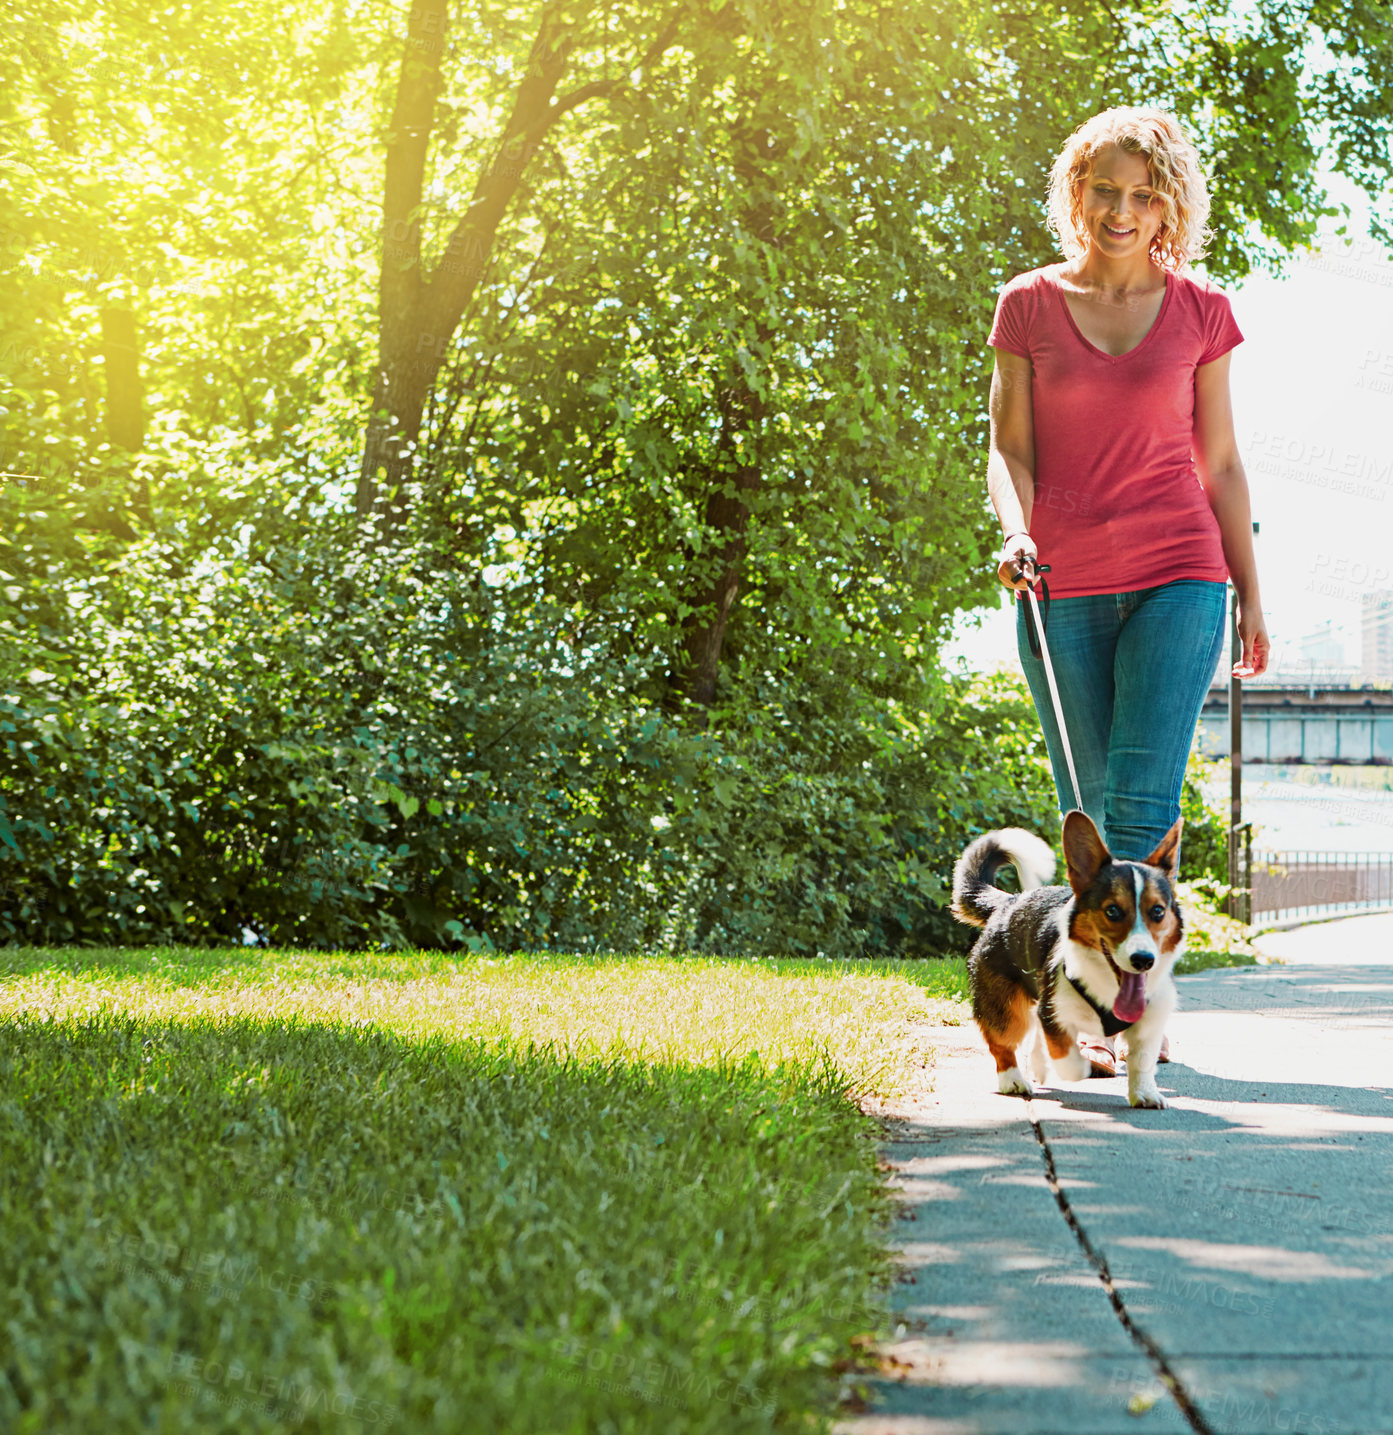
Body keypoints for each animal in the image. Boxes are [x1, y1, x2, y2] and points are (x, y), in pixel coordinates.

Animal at [946, 815, 1187, 1102]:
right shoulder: (1054, 1010)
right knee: (1003, 1043)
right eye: (1112, 911)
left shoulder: (1149, 1023)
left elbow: (1142, 1060)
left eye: (1158, 911)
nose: (1143, 960)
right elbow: (1068, 1059)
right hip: (1005, 1008)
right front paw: (1078, 1065)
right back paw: (1013, 1080)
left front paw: (1144, 1093)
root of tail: (1008, 901)